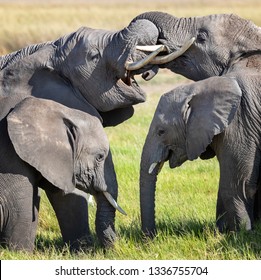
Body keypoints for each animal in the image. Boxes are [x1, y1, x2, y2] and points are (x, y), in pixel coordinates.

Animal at [140, 74, 260, 236]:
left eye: (161, 132)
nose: (152, 237)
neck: (199, 88)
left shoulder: (240, 124)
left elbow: (236, 186)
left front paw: (240, 235)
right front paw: (222, 232)